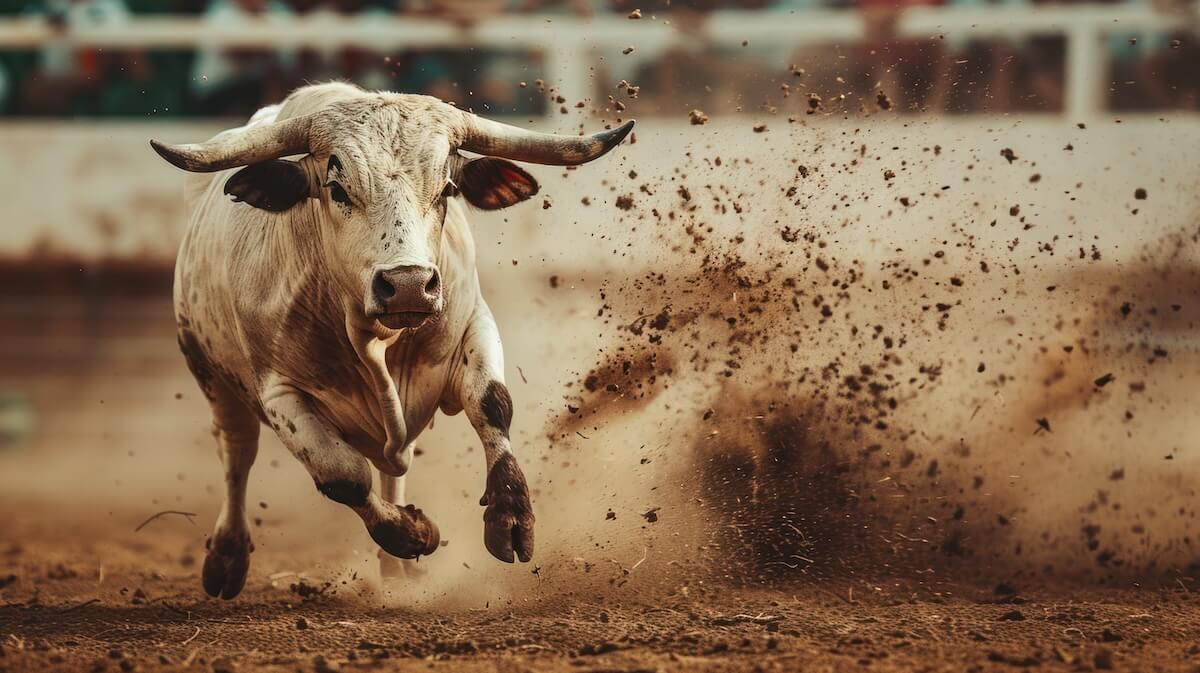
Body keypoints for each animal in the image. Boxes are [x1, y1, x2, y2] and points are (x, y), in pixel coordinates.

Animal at [150, 82, 633, 599]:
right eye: (337, 188)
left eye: (447, 189)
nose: (408, 284)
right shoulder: (279, 393)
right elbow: (342, 475)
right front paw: (412, 533)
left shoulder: (474, 324)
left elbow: (493, 406)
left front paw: (511, 518)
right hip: (209, 372)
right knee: (237, 453)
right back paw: (227, 556)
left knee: (390, 463)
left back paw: (397, 569)